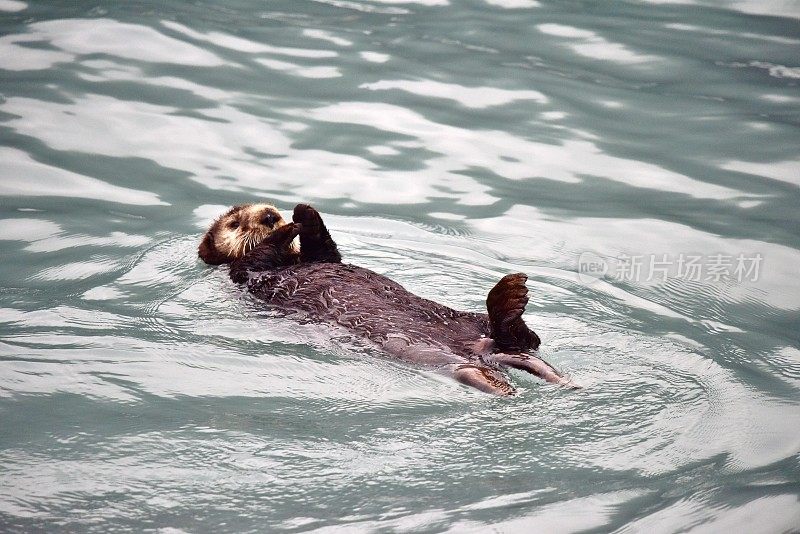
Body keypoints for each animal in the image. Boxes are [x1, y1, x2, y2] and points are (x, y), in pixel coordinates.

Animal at [199, 203, 576, 396]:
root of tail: (483, 349)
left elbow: (325, 250)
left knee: (524, 340)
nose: (270, 215)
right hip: (422, 353)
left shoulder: (320, 257)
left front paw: (303, 215)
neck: (289, 262)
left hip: (472, 322)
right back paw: (498, 383)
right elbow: (254, 258)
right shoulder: (247, 275)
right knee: (468, 367)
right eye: (234, 223)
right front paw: (286, 229)